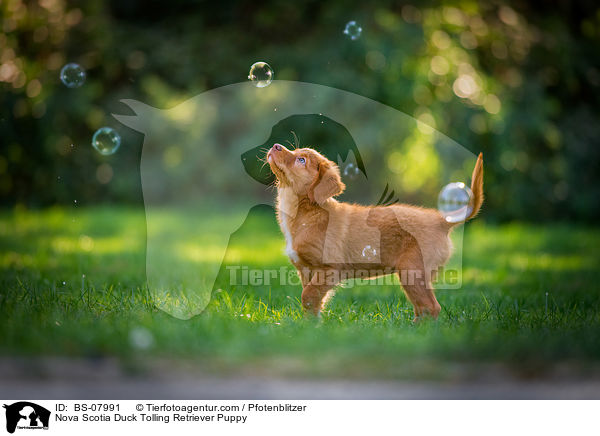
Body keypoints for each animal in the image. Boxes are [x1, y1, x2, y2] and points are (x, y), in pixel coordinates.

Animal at [268, 143, 482, 320]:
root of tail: (440, 219)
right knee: (423, 307)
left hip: (412, 270)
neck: (304, 212)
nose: (275, 145)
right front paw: (310, 325)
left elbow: (308, 295)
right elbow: (312, 302)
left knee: (431, 307)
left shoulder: (330, 268)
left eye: (301, 160)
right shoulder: (305, 270)